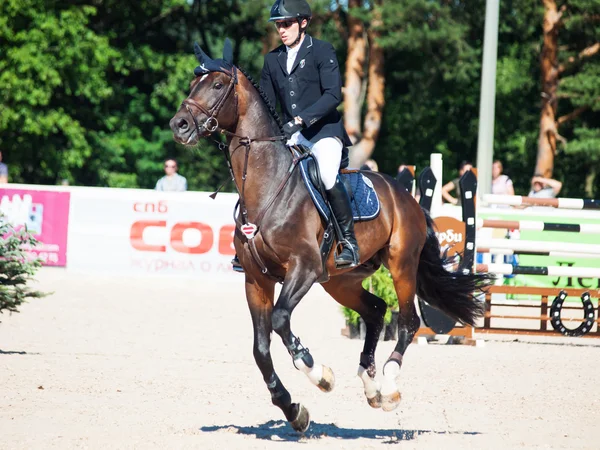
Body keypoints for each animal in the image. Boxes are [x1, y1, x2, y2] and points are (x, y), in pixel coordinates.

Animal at [169, 41, 492, 432]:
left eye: (217, 85)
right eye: (192, 83)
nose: (179, 125)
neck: (267, 184)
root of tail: (405, 196)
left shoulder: (304, 267)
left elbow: (280, 320)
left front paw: (317, 372)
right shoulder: (256, 278)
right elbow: (260, 349)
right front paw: (293, 410)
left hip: (400, 265)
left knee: (407, 321)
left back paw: (389, 385)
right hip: (340, 280)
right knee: (375, 311)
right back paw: (370, 385)